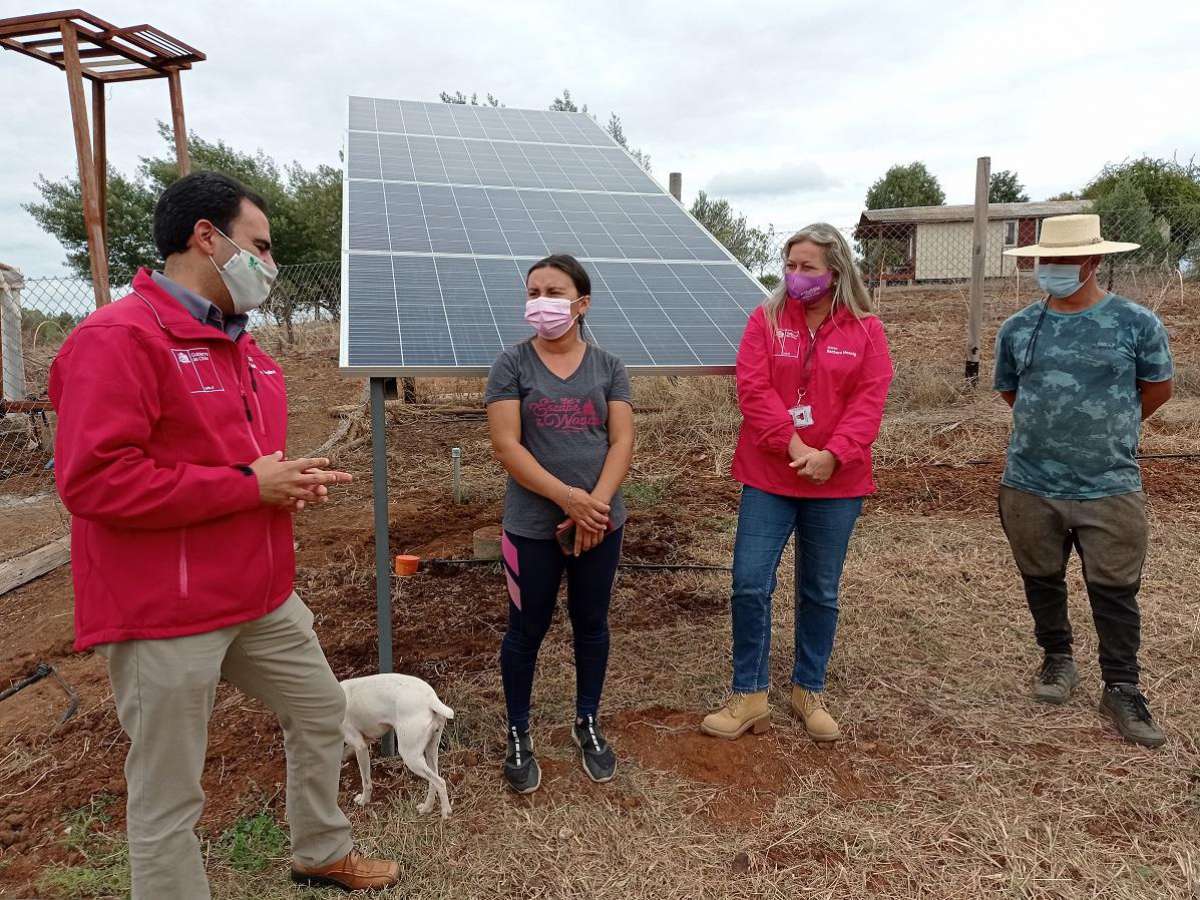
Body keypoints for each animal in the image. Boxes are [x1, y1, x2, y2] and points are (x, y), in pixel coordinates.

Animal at [343, 676, 453, 816]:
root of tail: (431, 699)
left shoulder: (360, 746)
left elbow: (366, 781)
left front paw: (364, 801)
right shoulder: (365, 741)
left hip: (410, 757)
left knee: (440, 782)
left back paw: (445, 813)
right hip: (431, 752)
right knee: (433, 781)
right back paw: (426, 808)